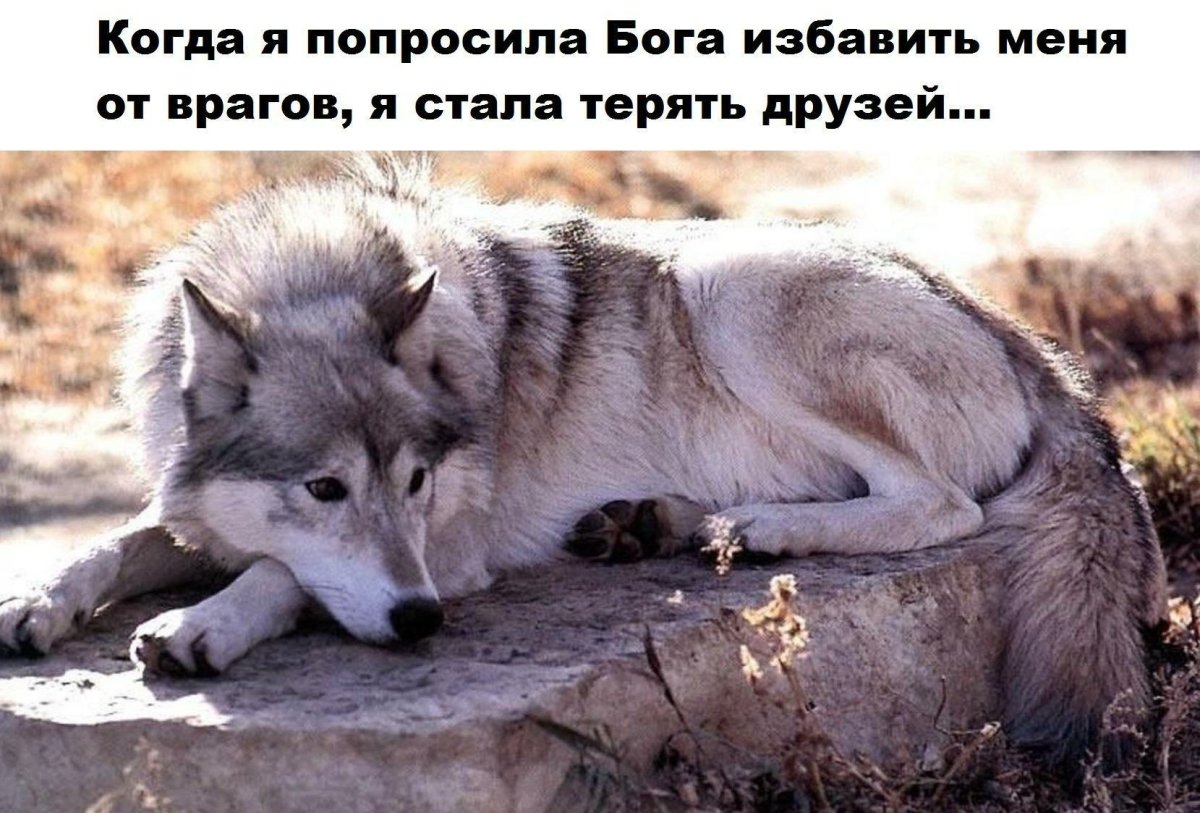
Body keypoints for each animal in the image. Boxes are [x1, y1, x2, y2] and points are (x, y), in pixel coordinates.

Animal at [0, 157, 1166, 769]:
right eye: (325, 487)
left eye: (415, 485)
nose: (422, 625)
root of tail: (1034, 345)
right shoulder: (192, 501)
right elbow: (122, 541)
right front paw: (36, 602)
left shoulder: (451, 553)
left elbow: (281, 572)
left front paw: (202, 625)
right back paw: (655, 522)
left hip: (724, 286)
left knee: (942, 508)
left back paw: (750, 529)